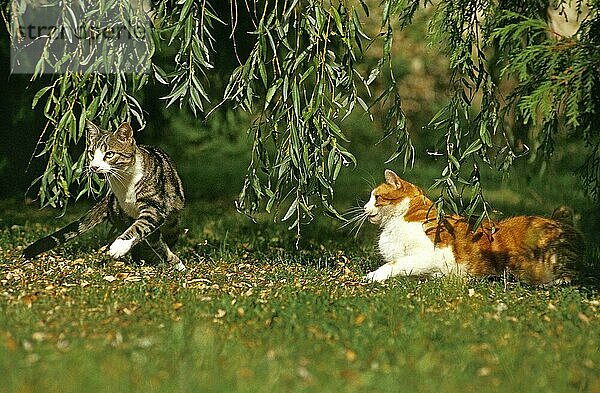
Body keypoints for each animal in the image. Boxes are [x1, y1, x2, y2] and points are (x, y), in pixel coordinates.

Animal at [21, 121, 185, 272]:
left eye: (109, 154)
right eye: (91, 153)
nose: (94, 166)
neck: (124, 182)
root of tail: (109, 199)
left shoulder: (155, 208)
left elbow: (140, 227)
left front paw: (119, 246)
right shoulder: (129, 214)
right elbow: (145, 234)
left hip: (172, 223)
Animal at [354, 170, 584, 284]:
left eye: (376, 198)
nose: (364, 207)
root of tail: (561, 221)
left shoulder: (436, 254)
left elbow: (395, 263)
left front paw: (373, 276)